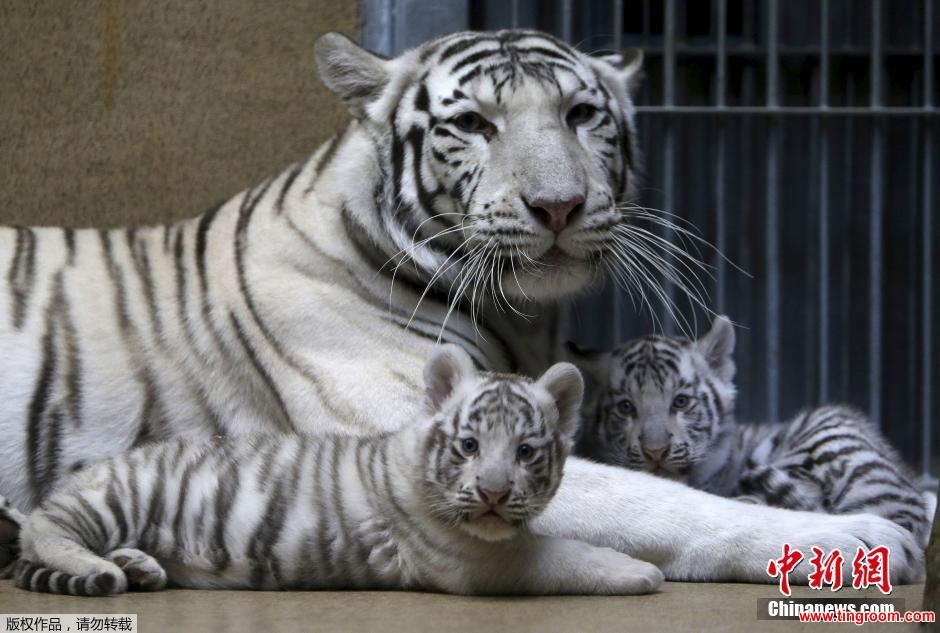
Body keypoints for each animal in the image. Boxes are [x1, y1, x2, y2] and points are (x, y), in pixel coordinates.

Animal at [0, 29, 924, 584]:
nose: (558, 205)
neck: (522, 316)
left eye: (581, 114)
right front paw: (857, 538)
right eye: (475, 123)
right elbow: (658, 500)